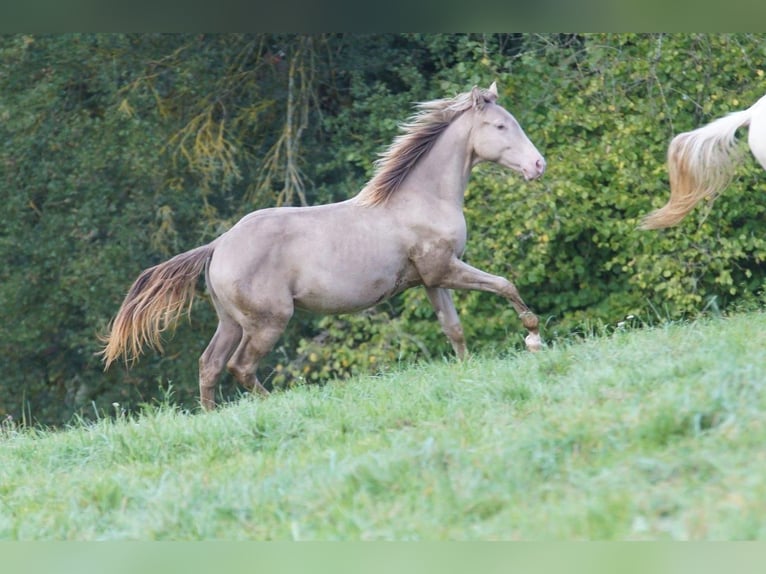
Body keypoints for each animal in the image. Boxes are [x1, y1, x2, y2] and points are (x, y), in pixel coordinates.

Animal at [100, 83, 544, 412]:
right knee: (241, 367)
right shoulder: (446, 269)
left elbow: (454, 329)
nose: (538, 165)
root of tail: (218, 246)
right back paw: (277, 404)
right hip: (268, 321)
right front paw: (533, 338)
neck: (423, 198)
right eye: (500, 126)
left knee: (209, 366)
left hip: (230, 321)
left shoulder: (433, 278)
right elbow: (504, 284)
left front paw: (466, 371)